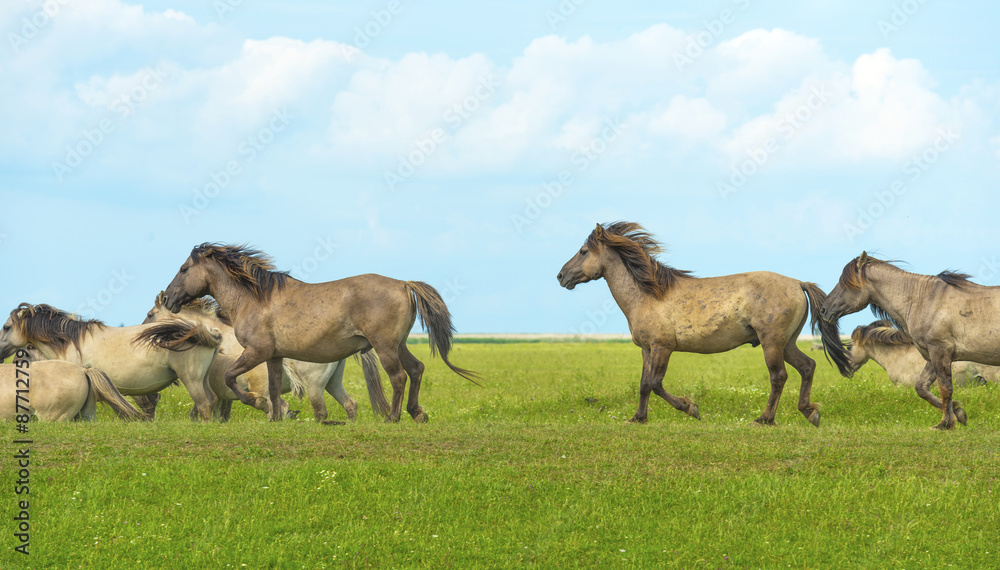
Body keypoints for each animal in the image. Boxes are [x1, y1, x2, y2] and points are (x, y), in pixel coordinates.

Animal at [142, 293, 389, 422]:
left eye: (150, 314)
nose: (140, 332)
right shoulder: (223, 392)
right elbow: (217, 412)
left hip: (315, 386)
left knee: (320, 410)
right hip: (333, 382)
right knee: (350, 404)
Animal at [557, 222, 850, 426]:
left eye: (583, 251)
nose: (561, 276)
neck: (648, 294)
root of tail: (798, 283)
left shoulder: (663, 347)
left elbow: (656, 383)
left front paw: (691, 408)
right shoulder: (647, 349)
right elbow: (643, 384)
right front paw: (638, 418)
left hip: (772, 343)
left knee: (779, 377)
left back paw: (764, 419)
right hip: (787, 344)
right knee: (807, 367)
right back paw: (810, 413)